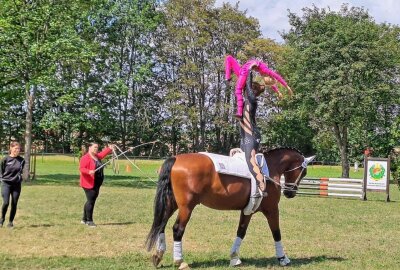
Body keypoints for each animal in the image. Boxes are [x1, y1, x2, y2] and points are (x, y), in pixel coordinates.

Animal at [145, 149, 314, 268]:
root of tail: (175, 159)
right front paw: (283, 258)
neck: (268, 171)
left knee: (161, 225)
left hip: (171, 203)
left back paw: (158, 256)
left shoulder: (248, 210)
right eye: (304, 172)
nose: (290, 193)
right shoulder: (272, 210)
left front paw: (234, 257)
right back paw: (180, 261)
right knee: (177, 229)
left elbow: (241, 231)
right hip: (187, 207)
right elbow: (276, 232)